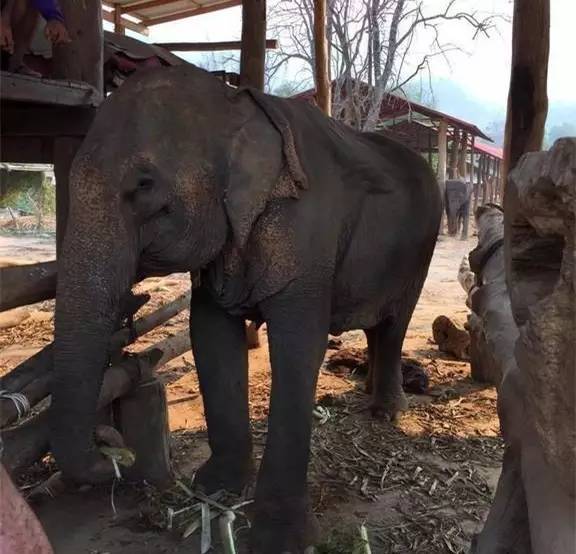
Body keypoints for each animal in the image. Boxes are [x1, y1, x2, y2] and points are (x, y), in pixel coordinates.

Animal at [50, 65, 442, 553]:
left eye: (143, 186)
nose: (110, 448)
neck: (234, 107)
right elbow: (210, 335)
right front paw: (214, 489)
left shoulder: (306, 234)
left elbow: (299, 346)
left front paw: (280, 537)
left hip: (420, 251)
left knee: (393, 325)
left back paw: (387, 411)